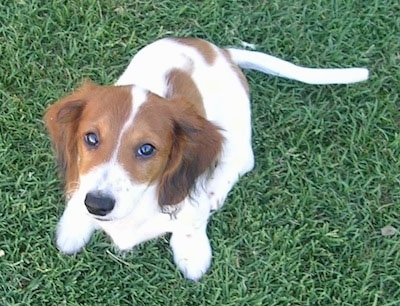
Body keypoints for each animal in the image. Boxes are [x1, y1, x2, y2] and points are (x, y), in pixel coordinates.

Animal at [44, 37, 368, 280]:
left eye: (147, 149)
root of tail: (219, 51)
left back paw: (215, 191)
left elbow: (191, 223)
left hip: (236, 129)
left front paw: (192, 254)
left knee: (241, 161)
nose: (97, 204)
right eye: (91, 138)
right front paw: (74, 225)